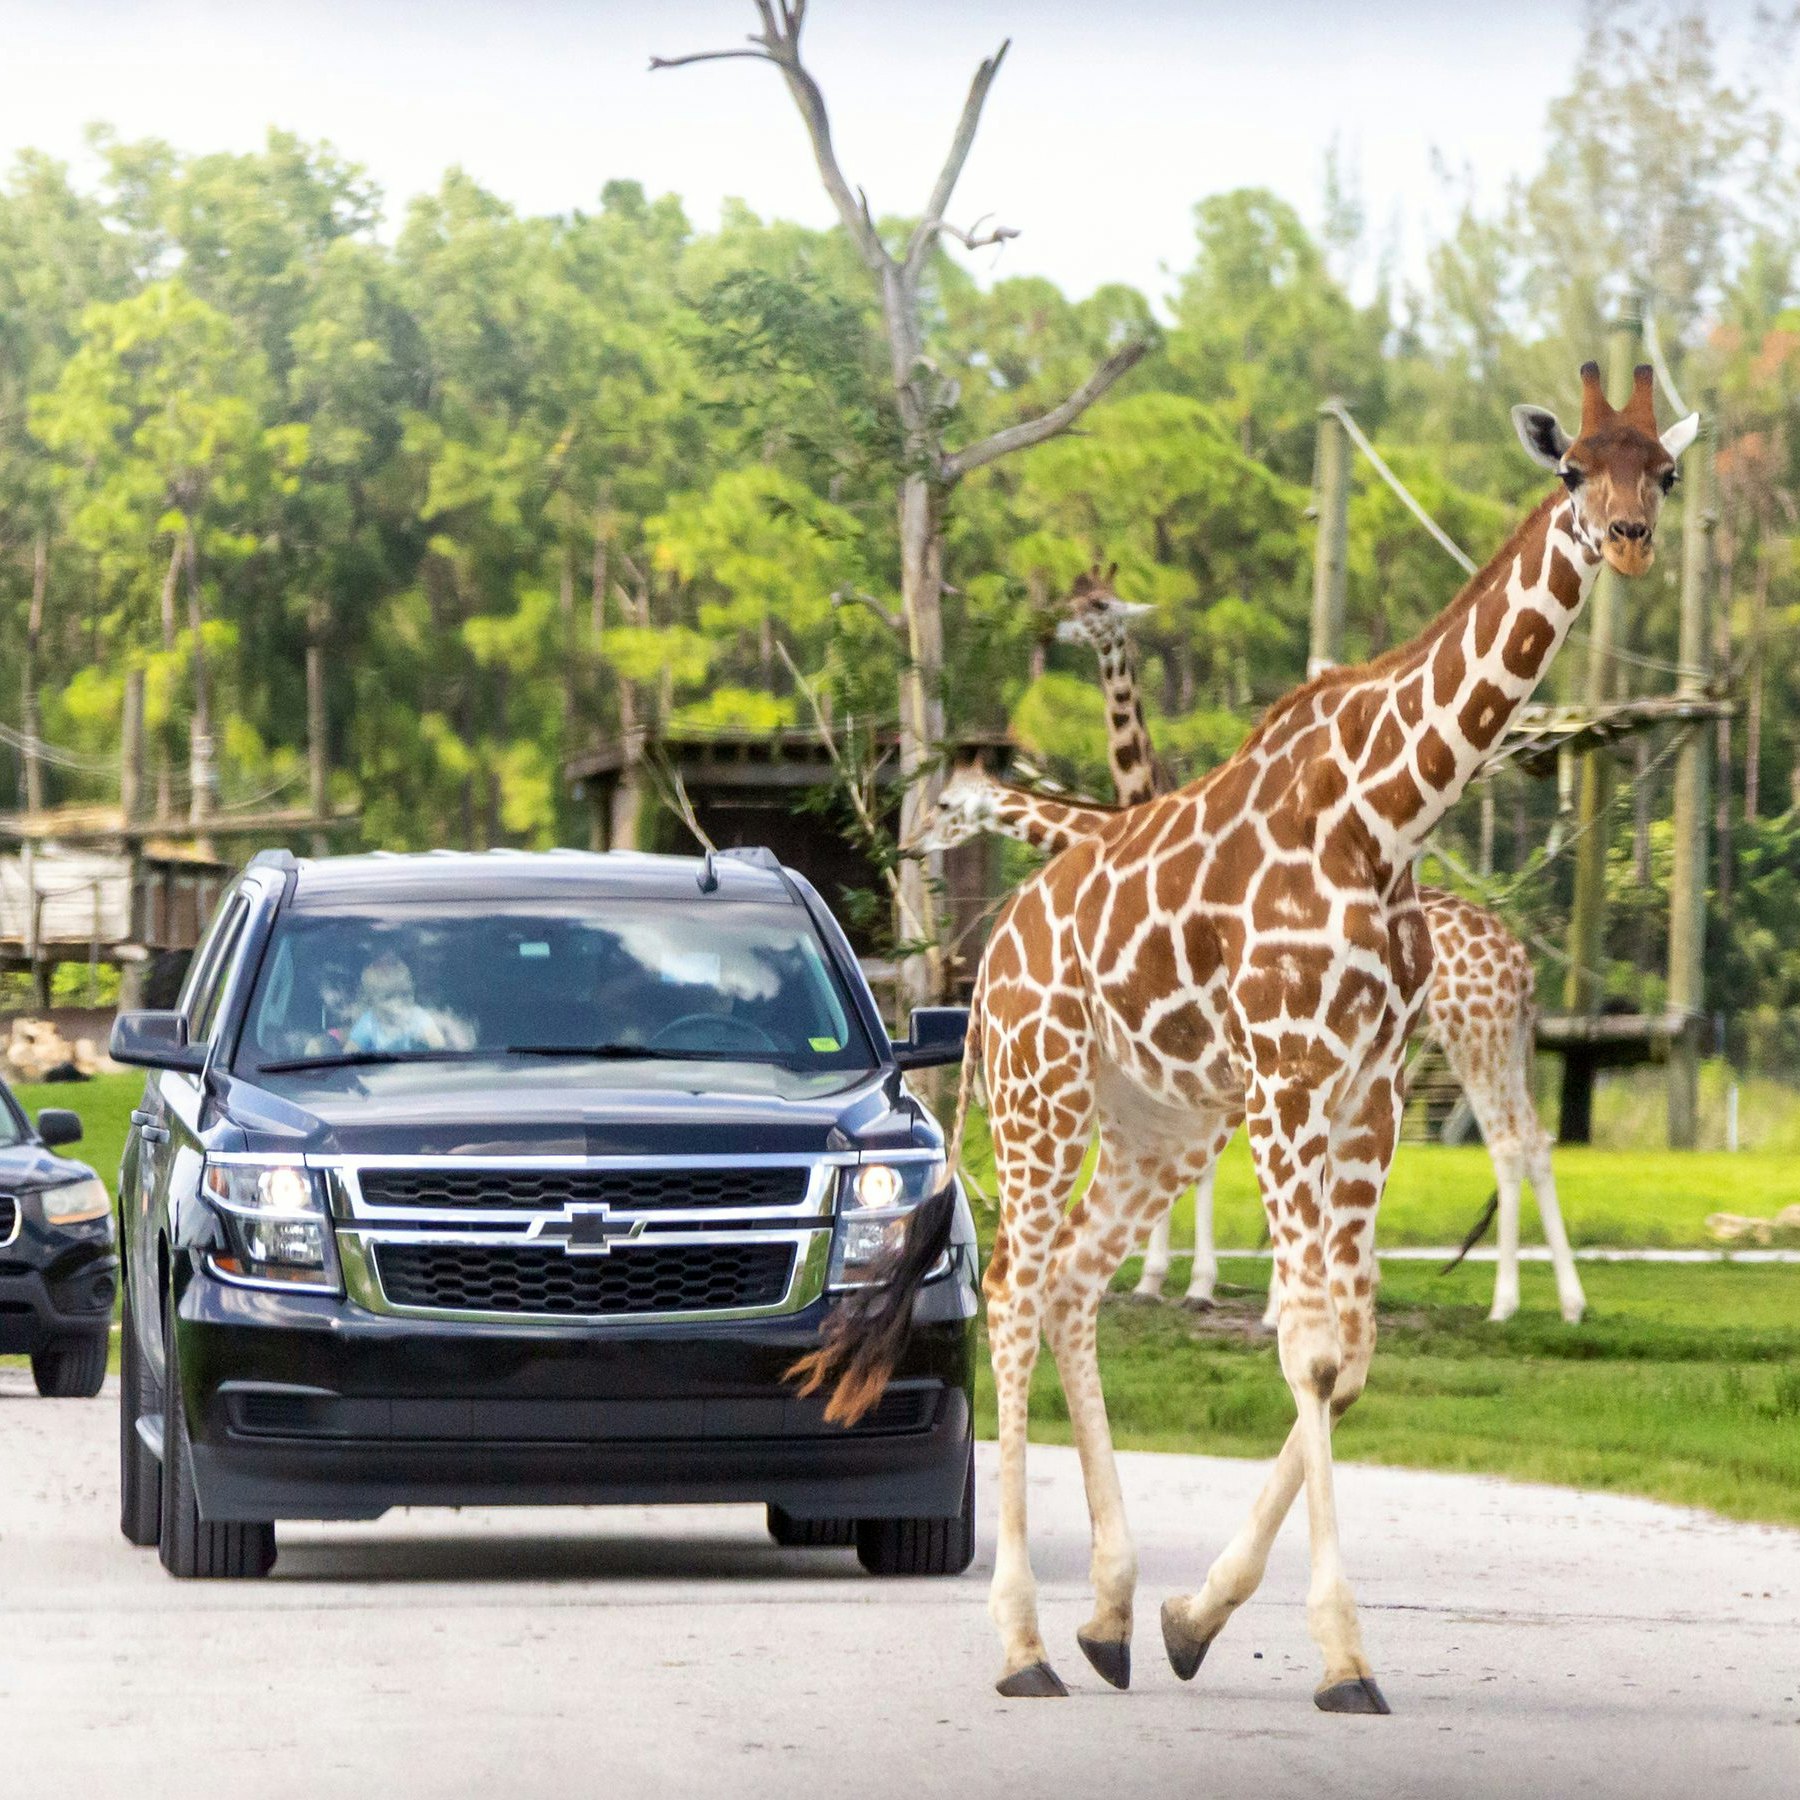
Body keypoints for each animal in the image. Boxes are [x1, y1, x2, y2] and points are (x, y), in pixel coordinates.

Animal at [1056, 580, 1587, 1323]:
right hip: (1500, 1041)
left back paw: (1504, 1303)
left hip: (1468, 1037)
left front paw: (1193, 1284)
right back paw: (1566, 1302)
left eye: (1099, 607)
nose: (1057, 627)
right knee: (1535, 1142)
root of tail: (1522, 966)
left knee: (1508, 1144)